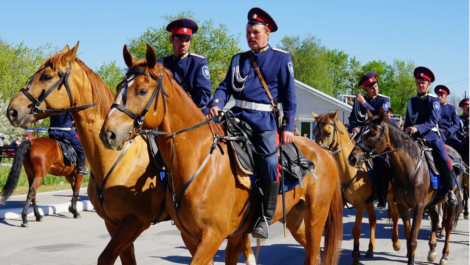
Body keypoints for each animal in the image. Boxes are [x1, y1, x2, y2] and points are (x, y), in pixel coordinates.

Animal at [100, 44, 342, 262]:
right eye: (119, 86)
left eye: (142, 91)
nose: (108, 134)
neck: (198, 159)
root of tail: (323, 152)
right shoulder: (192, 236)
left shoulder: (212, 235)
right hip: (294, 219)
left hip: (315, 220)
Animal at [312, 110, 400, 262]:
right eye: (313, 132)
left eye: (328, 133)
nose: (318, 155)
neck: (350, 170)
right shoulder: (343, 203)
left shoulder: (360, 204)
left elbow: (356, 230)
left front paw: (355, 257)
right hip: (370, 201)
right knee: (373, 220)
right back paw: (370, 249)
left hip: (390, 195)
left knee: (394, 215)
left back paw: (396, 243)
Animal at [346, 108, 464, 264]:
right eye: (360, 132)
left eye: (372, 133)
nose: (352, 158)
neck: (410, 168)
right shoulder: (403, 205)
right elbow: (408, 235)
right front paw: (409, 255)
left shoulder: (418, 206)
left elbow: (413, 239)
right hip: (432, 202)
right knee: (434, 219)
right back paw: (432, 250)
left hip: (451, 202)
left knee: (448, 226)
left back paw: (444, 255)